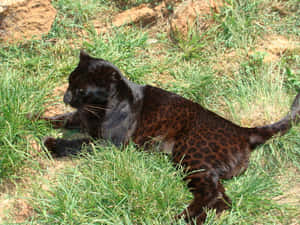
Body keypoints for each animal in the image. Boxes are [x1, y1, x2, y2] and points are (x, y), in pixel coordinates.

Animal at [37, 51, 300, 225]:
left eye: (81, 89)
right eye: (69, 82)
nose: (65, 97)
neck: (98, 107)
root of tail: (242, 130)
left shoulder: (108, 144)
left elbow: (79, 144)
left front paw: (51, 143)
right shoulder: (82, 120)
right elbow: (62, 119)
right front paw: (34, 118)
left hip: (191, 156)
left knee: (215, 196)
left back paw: (179, 219)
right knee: (220, 198)